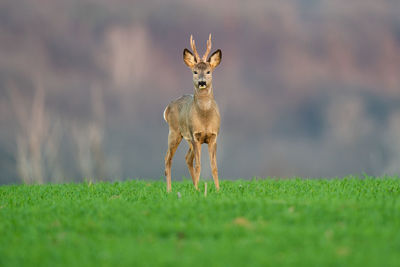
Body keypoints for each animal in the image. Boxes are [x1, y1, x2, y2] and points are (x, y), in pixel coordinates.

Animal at [164, 34, 223, 193]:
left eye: (208, 71)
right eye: (195, 71)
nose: (202, 82)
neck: (205, 118)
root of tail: (168, 107)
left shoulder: (214, 136)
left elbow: (214, 166)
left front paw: (217, 190)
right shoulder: (196, 135)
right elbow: (198, 165)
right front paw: (198, 189)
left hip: (187, 139)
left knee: (187, 158)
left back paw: (194, 187)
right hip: (175, 132)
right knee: (168, 159)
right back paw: (169, 190)